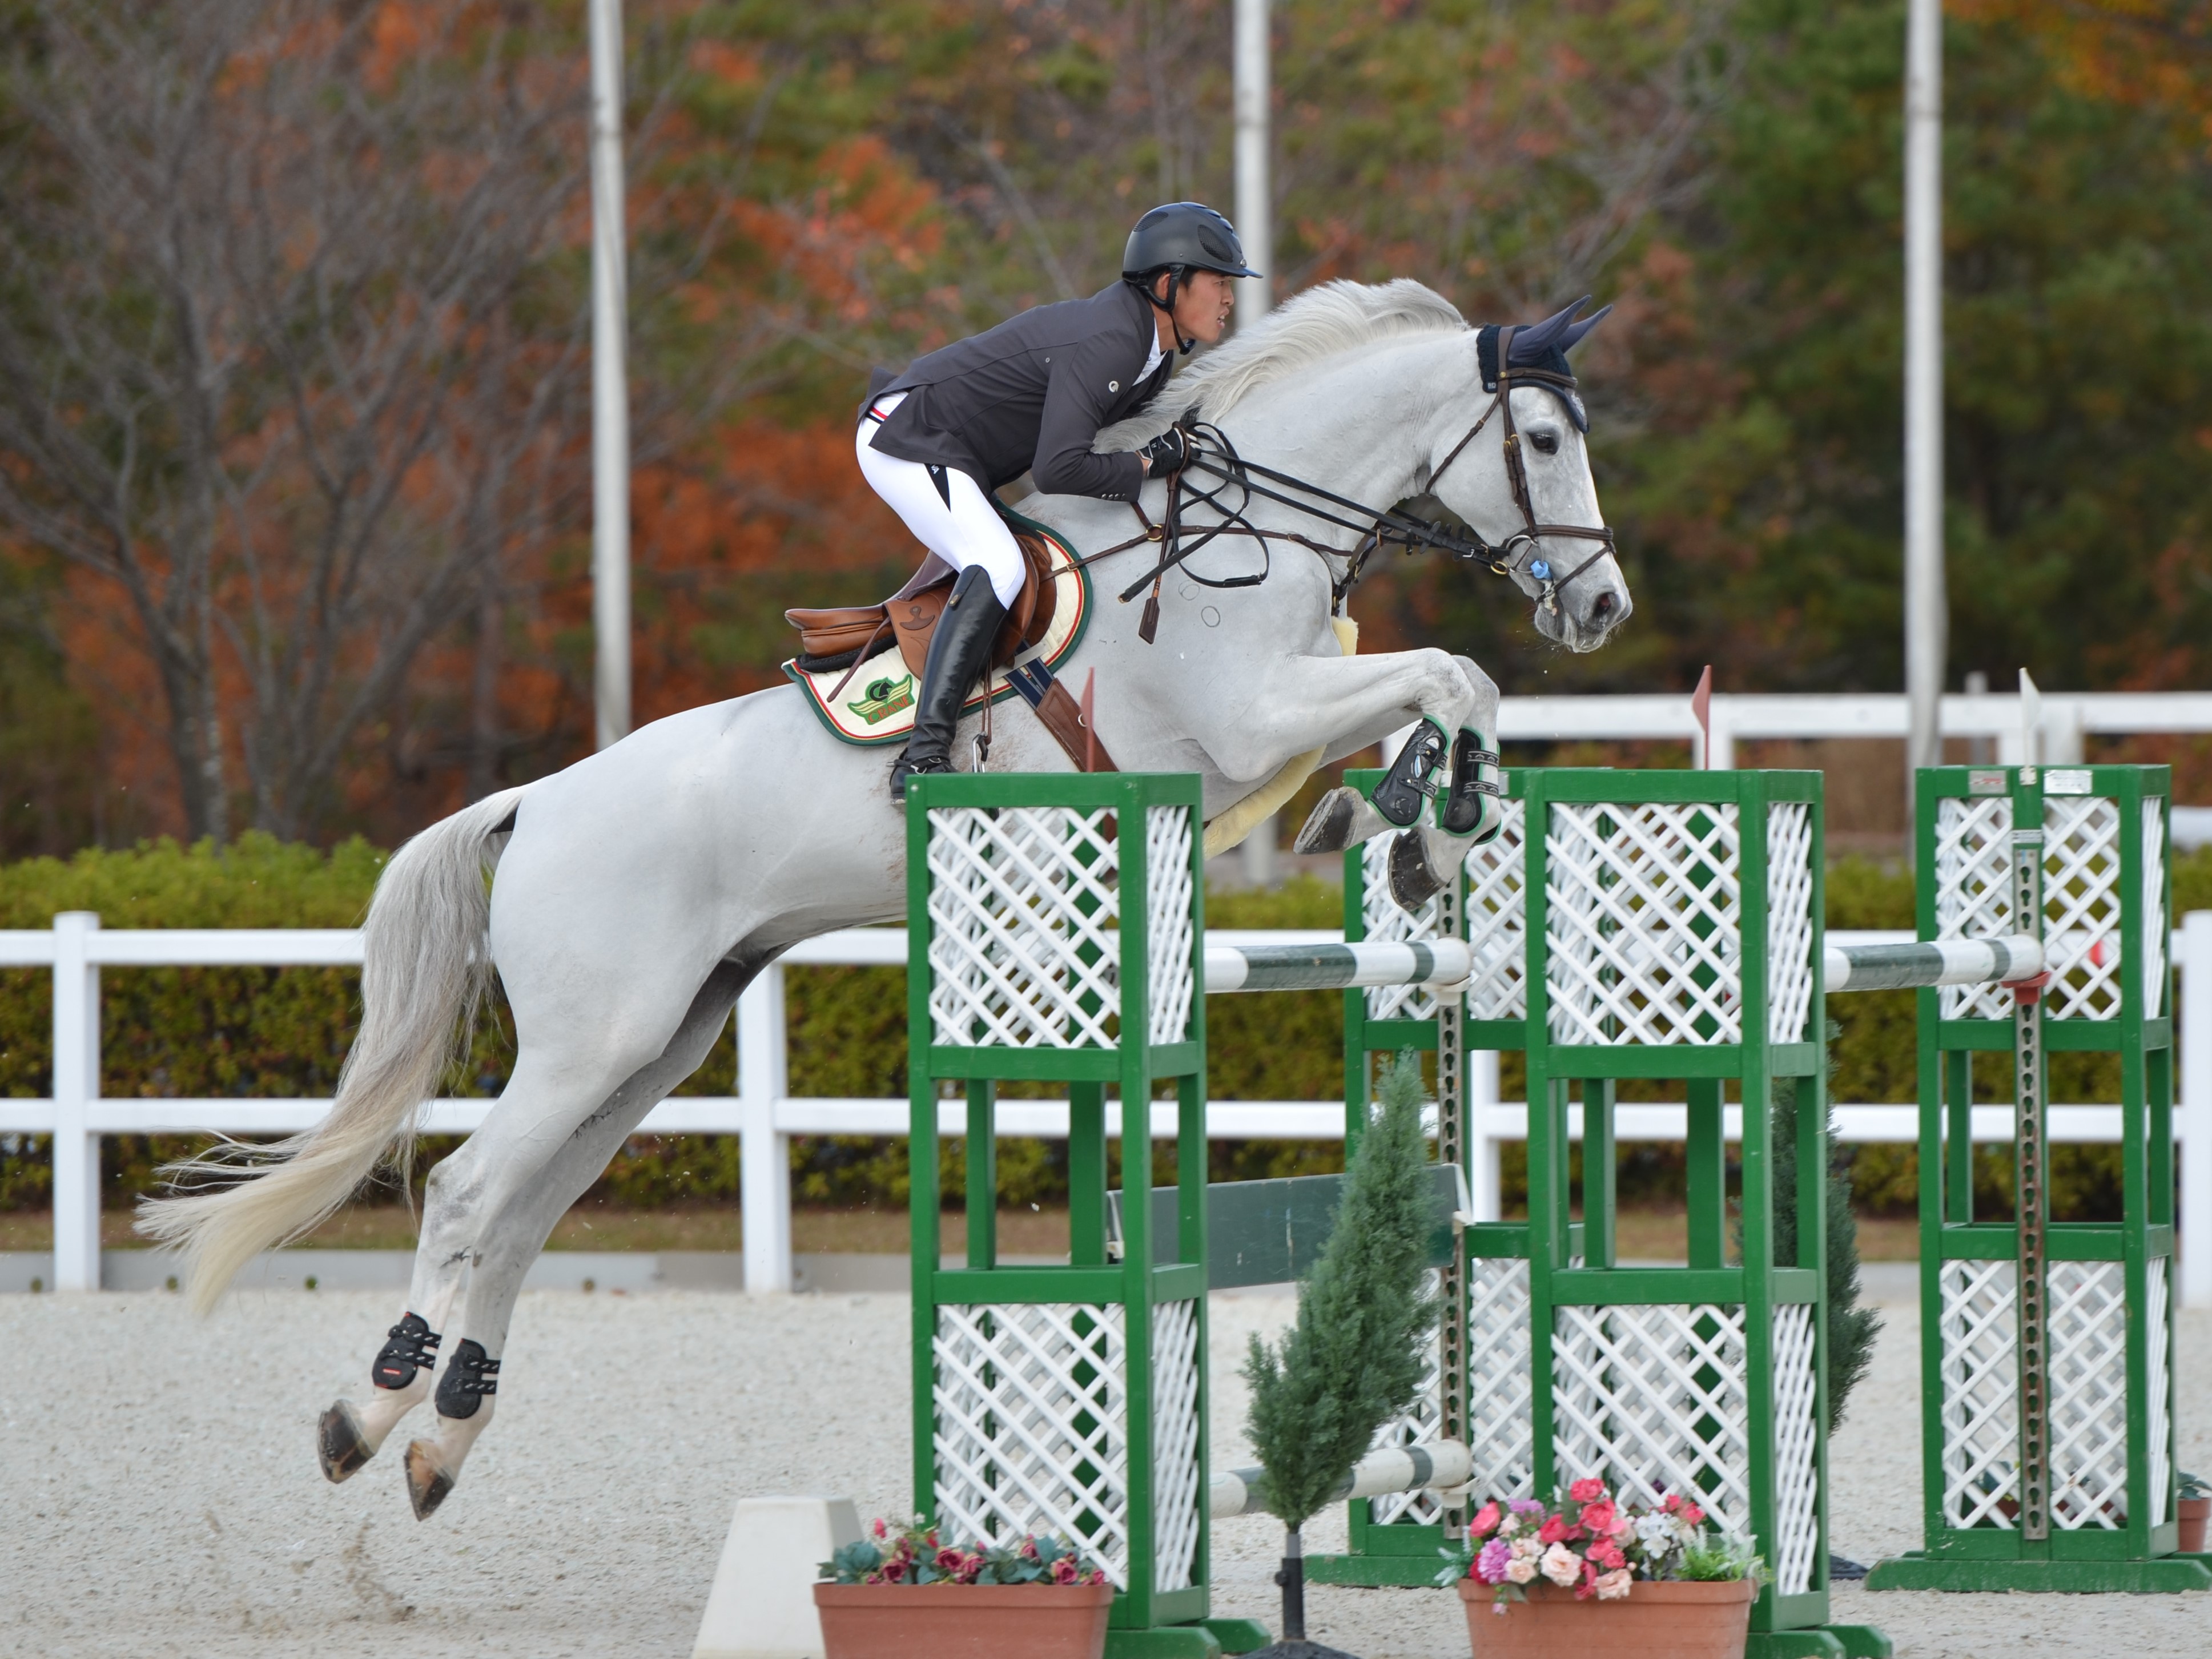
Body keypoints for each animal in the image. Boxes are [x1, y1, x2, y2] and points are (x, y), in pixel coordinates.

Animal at [139, 278, 1631, 1519]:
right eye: (1540, 440)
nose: (1602, 608)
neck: (1245, 525)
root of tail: (538, 803)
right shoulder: (1252, 717)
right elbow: (1444, 674)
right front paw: (1421, 826)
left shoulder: (1274, 732)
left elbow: (1444, 694)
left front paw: (1409, 830)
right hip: (594, 1037)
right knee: (462, 1193)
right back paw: (368, 1413)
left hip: (661, 1039)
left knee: (520, 1216)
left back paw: (443, 1440)